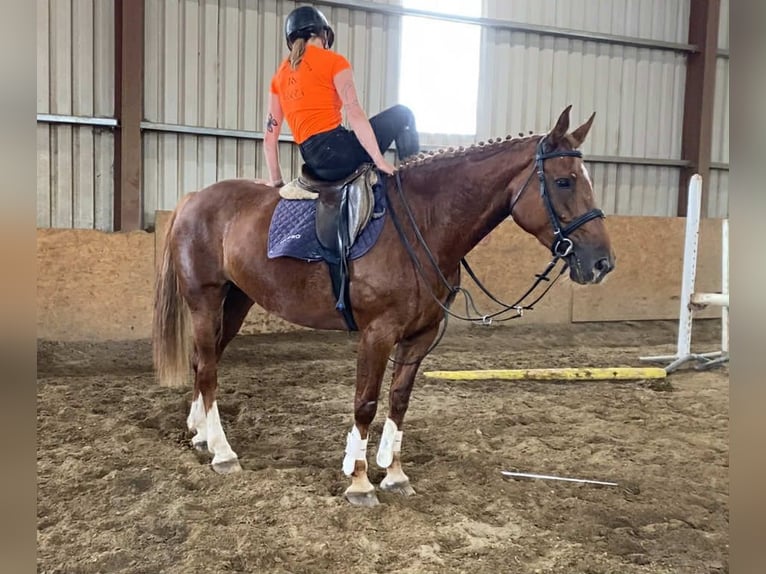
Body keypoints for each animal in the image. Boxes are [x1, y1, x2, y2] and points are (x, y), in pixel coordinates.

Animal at [152, 106, 615, 506]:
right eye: (564, 182)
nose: (601, 263)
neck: (423, 224)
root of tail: (194, 198)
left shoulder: (419, 337)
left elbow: (399, 401)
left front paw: (394, 475)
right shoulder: (377, 334)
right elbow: (366, 403)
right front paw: (359, 481)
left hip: (236, 302)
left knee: (204, 361)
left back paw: (200, 434)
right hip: (205, 299)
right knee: (208, 369)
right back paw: (222, 451)